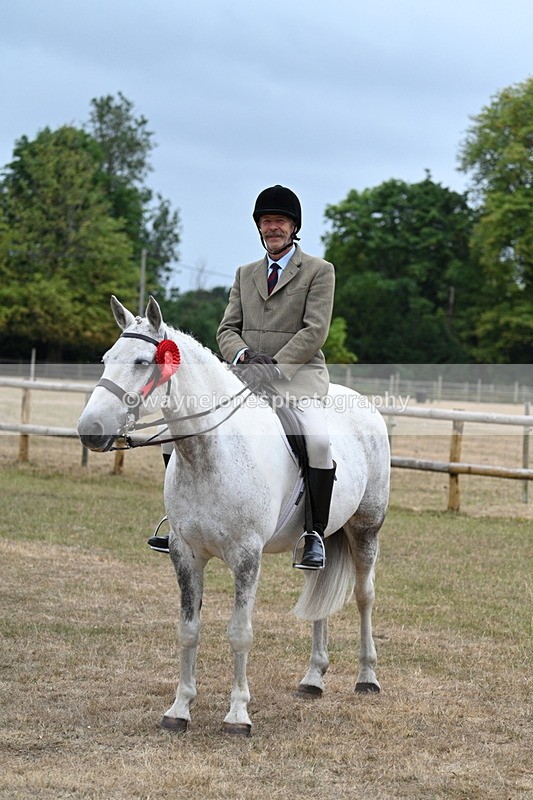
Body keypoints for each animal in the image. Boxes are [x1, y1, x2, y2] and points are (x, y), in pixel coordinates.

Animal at [77, 296, 390, 735]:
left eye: (142, 361)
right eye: (106, 359)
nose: (90, 430)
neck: (210, 454)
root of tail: (362, 403)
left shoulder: (246, 557)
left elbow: (240, 633)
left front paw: (238, 714)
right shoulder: (185, 554)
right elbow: (188, 630)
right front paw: (179, 709)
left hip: (366, 528)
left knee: (365, 595)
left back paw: (367, 678)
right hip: (320, 538)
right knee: (318, 594)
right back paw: (313, 679)